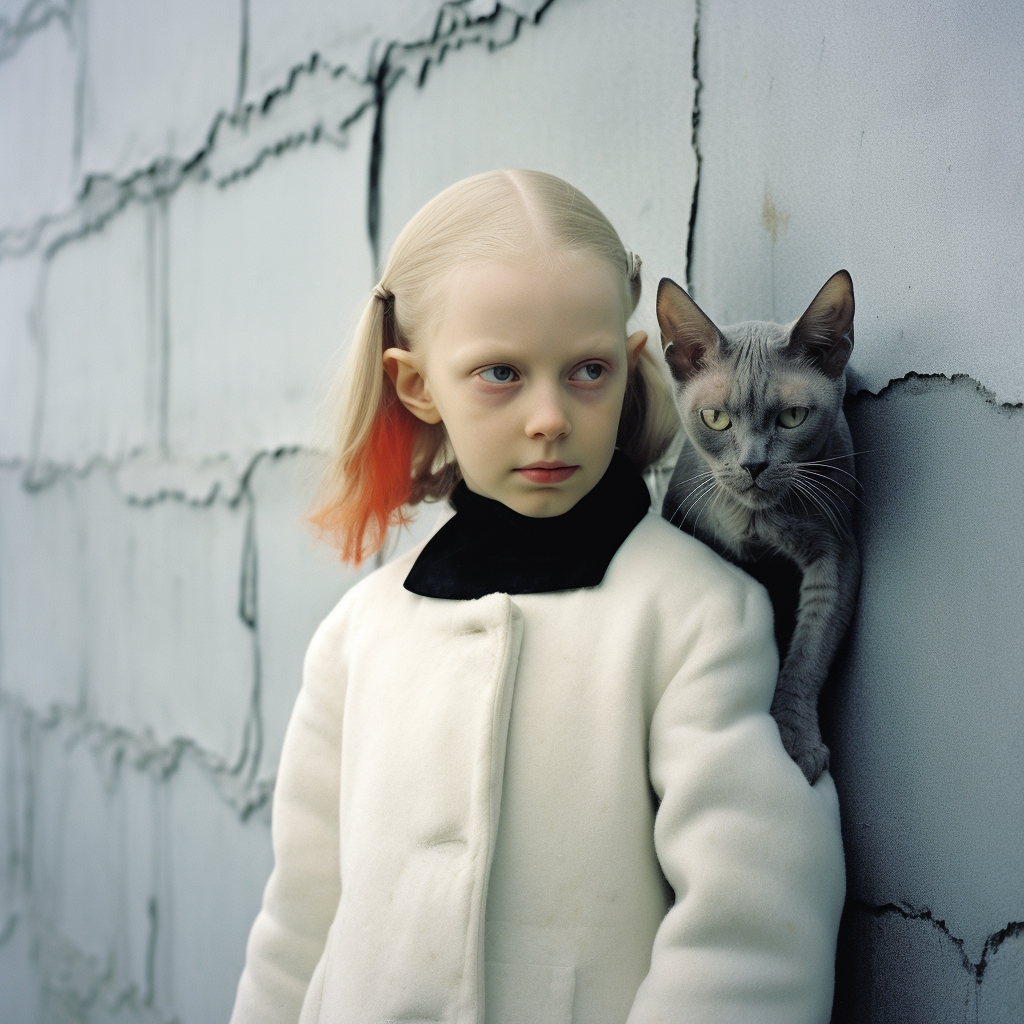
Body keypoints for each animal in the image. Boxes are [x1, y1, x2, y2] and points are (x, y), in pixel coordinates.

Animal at [655, 270, 856, 782]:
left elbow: (808, 656)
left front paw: (796, 742)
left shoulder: (837, 555)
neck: (756, 522)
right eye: (715, 418)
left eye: (792, 416)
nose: (753, 465)